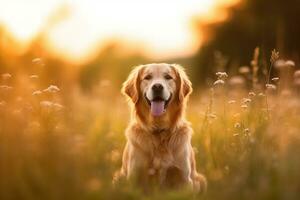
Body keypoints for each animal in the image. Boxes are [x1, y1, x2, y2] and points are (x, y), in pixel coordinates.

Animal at [115, 63, 206, 193]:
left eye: (168, 77)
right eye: (147, 77)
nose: (157, 87)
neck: (158, 130)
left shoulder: (184, 178)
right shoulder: (134, 177)